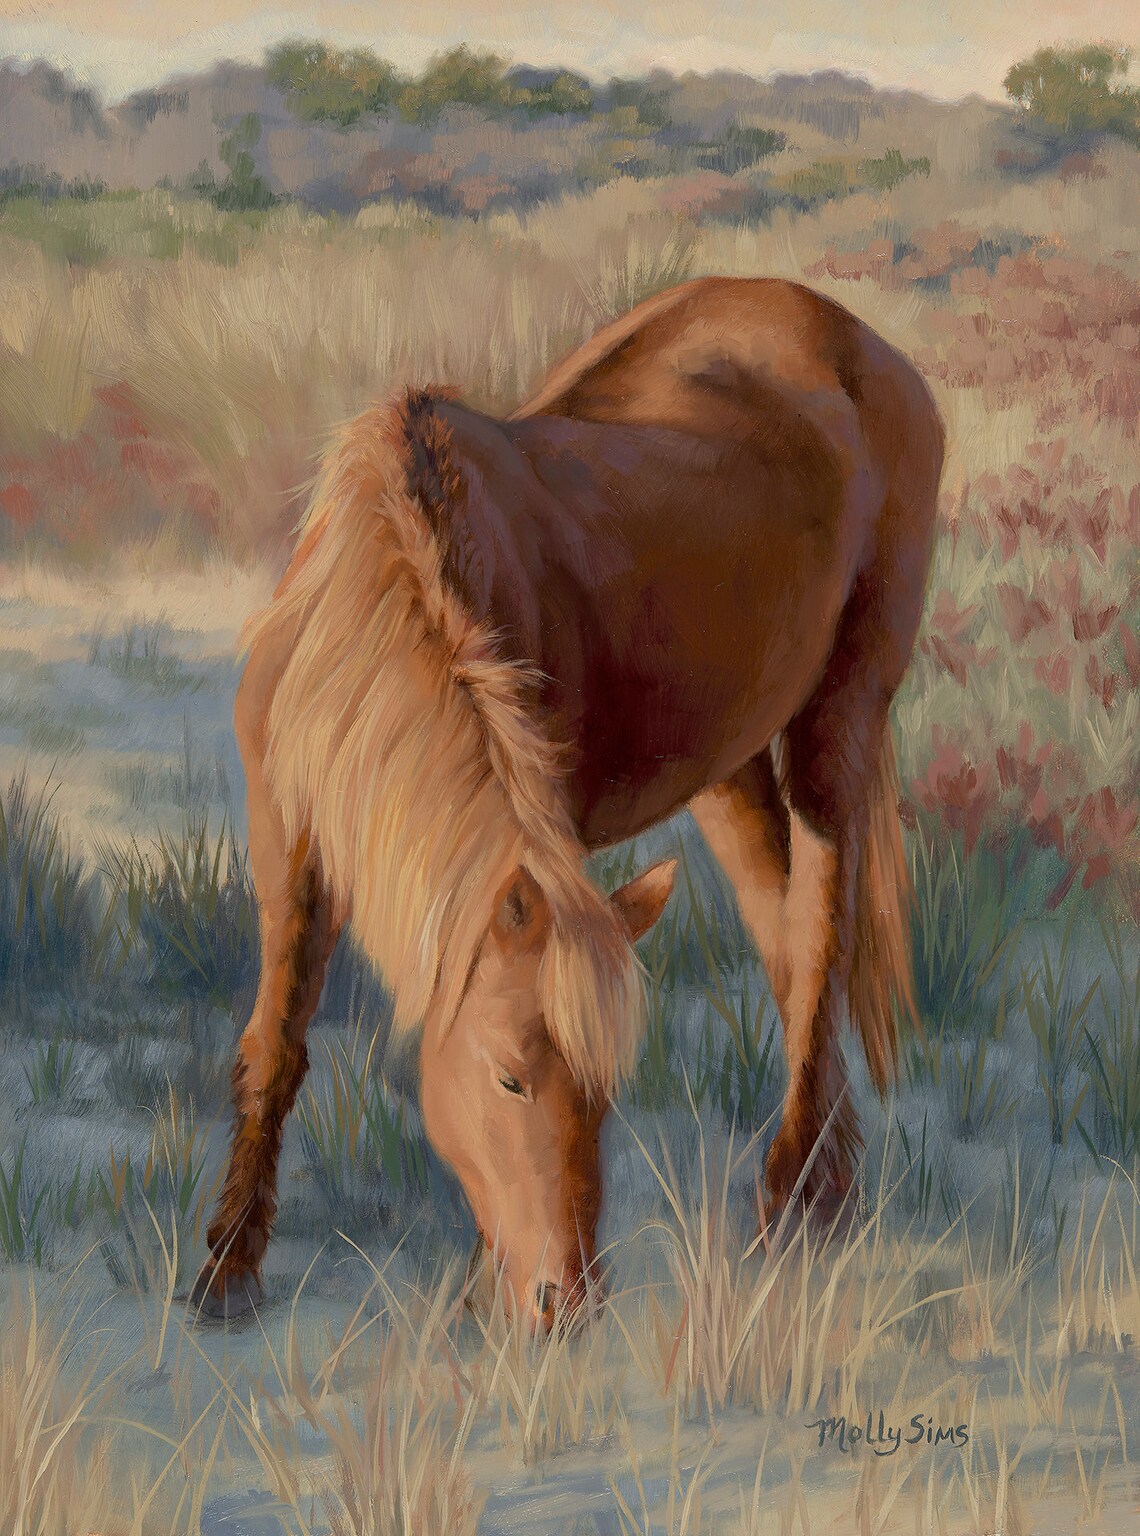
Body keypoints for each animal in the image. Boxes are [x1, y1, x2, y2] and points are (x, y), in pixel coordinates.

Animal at [192, 275, 944, 1329]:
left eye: (608, 1093)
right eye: (511, 1077)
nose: (569, 1302)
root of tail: (852, 335)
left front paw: (478, 1292)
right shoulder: (291, 842)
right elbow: (275, 1042)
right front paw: (228, 1271)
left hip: (841, 715)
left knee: (824, 930)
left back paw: (792, 1194)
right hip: (728, 763)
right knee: (788, 935)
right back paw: (822, 1192)